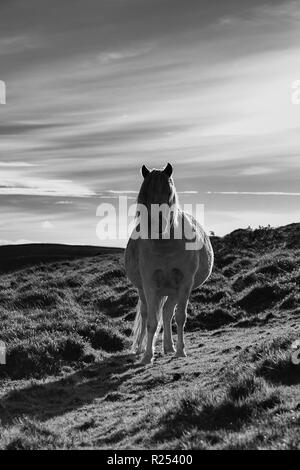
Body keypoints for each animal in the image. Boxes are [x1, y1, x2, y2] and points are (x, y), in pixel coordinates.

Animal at [124, 163, 213, 366]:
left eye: (169, 192)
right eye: (145, 194)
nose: (156, 225)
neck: (165, 245)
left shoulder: (185, 283)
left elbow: (179, 317)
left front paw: (180, 351)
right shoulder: (149, 284)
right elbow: (151, 321)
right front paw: (147, 356)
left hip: (173, 290)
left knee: (167, 313)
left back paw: (169, 347)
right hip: (145, 290)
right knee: (148, 314)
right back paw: (141, 349)